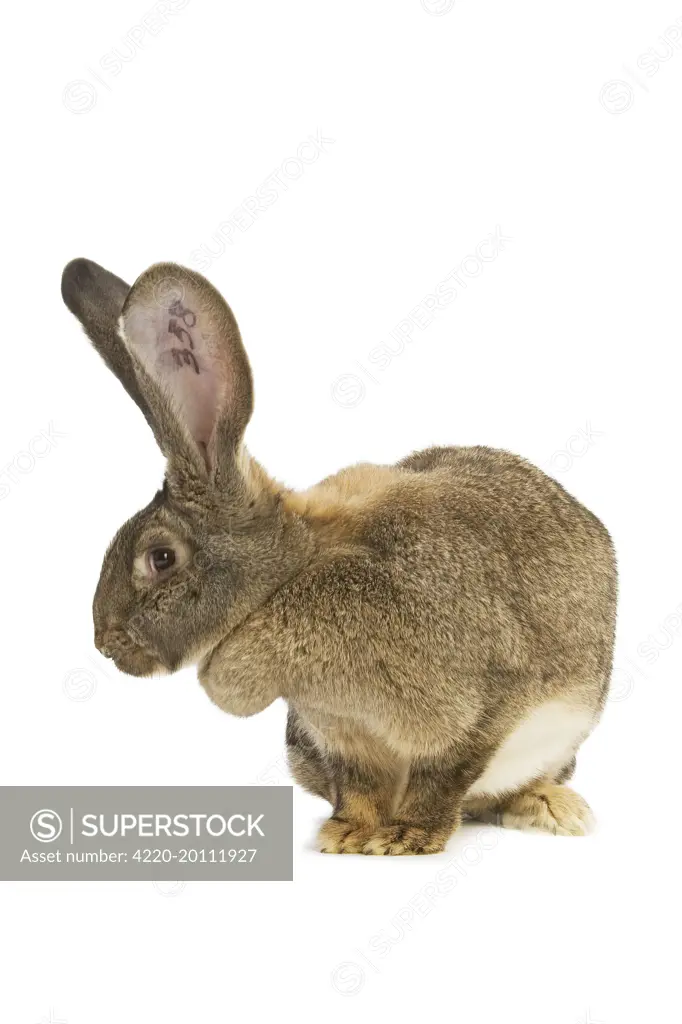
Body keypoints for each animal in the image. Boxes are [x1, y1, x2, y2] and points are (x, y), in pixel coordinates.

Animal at [62, 258, 614, 856]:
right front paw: (347, 835)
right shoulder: (338, 732)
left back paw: (552, 808)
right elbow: (359, 786)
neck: (288, 579)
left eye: (161, 558)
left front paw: (407, 838)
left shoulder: (487, 703)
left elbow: (445, 777)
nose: (104, 641)